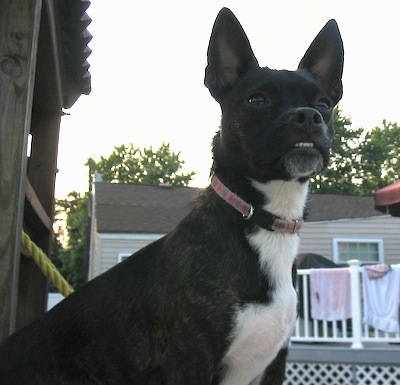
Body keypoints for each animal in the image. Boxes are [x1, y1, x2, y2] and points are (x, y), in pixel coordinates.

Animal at [0, 7, 344, 382]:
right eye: (257, 100)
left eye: (324, 103)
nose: (308, 116)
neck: (260, 218)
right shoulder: (190, 361)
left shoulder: (272, 367)